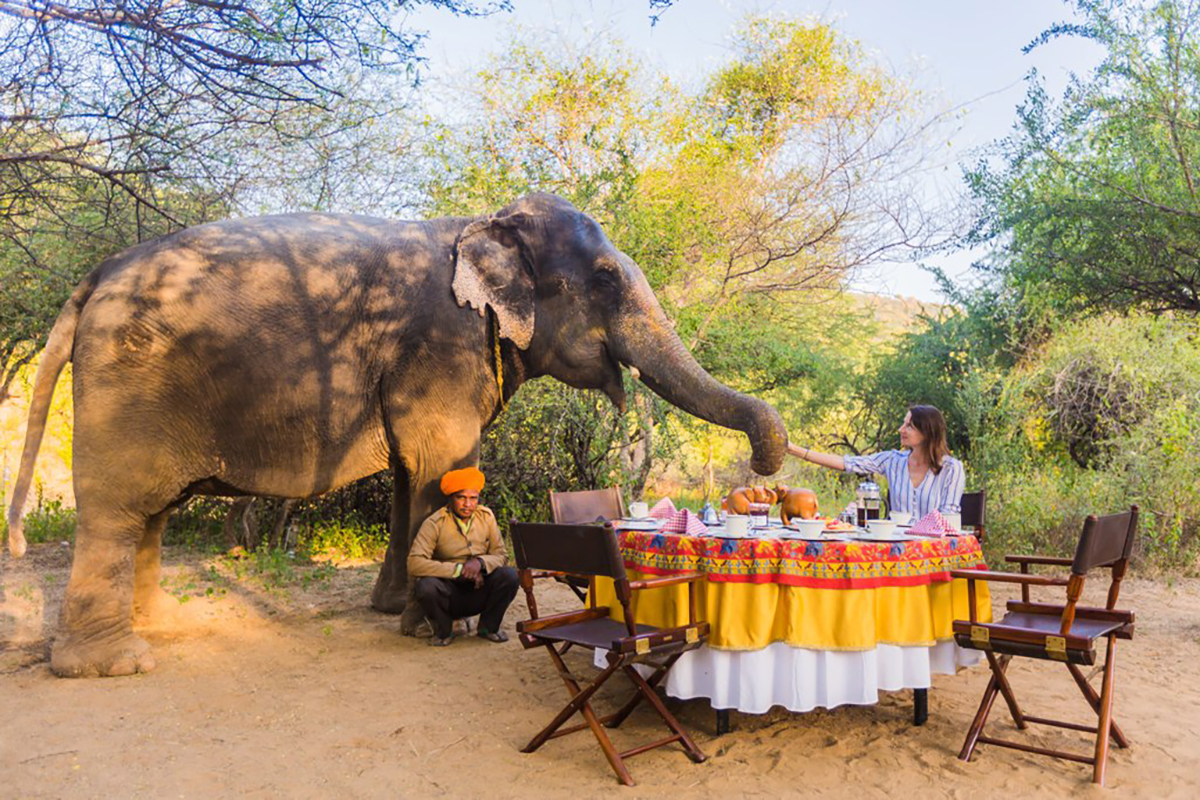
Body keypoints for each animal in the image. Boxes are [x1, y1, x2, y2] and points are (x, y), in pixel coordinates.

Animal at [5, 193, 787, 677]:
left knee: (153, 514)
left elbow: (417, 475)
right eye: (601, 279)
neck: (481, 223)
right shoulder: (441, 342)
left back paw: (163, 625)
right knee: (118, 509)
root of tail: (96, 276)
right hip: (129, 385)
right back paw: (116, 664)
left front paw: (389, 610)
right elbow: (438, 459)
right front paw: (426, 627)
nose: (761, 465)